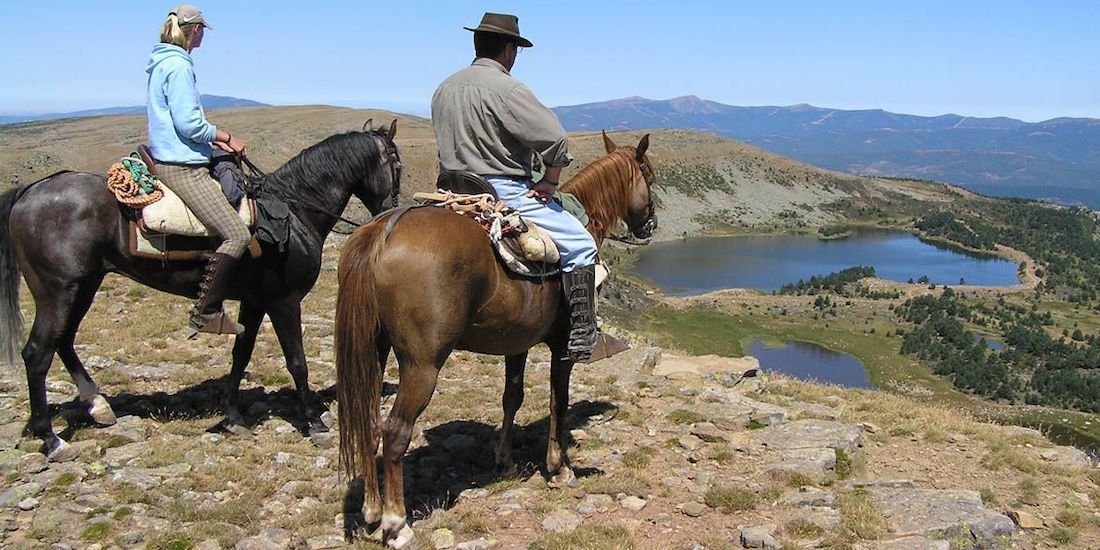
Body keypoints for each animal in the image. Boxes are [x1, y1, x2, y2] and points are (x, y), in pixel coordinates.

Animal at [0, 119, 404, 459]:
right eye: (396, 166)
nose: (390, 212)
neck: (294, 211)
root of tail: (30, 191)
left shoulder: (254, 302)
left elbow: (241, 356)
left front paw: (233, 418)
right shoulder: (284, 302)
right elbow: (297, 362)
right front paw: (315, 421)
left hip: (84, 286)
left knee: (64, 342)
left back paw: (97, 407)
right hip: (58, 291)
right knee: (38, 353)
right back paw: (52, 439)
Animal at [334, 132, 655, 545]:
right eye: (650, 177)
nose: (650, 225)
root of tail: (384, 230)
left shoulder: (516, 343)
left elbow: (512, 397)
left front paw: (505, 461)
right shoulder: (561, 348)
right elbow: (559, 402)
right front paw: (559, 468)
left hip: (374, 351)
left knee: (370, 423)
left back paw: (372, 511)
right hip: (422, 365)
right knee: (395, 432)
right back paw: (396, 522)